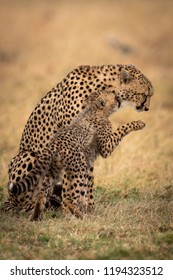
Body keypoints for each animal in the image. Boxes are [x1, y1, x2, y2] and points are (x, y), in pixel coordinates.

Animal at [3, 63, 153, 212]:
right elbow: (73, 178)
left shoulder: (89, 146)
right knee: (23, 202)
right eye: (144, 94)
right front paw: (71, 206)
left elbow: (88, 177)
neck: (103, 86)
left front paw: (88, 205)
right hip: (28, 156)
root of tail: (9, 201)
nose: (146, 108)